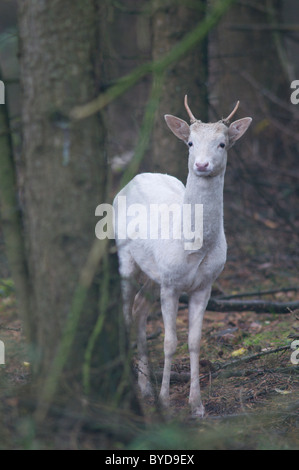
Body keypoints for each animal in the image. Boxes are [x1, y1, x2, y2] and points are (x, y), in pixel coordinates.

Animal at [113, 94, 252, 414]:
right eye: (190, 142)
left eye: (222, 143)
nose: (201, 164)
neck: (194, 246)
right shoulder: (171, 284)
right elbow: (169, 342)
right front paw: (166, 401)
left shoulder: (205, 285)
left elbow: (194, 341)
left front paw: (197, 405)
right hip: (127, 258)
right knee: (126, 312)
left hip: (153, 273)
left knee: (140, 308)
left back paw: (145, 387)